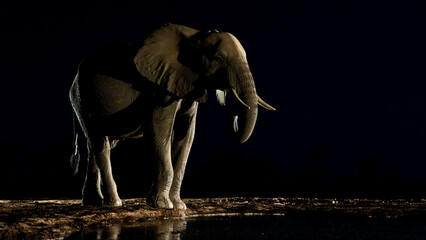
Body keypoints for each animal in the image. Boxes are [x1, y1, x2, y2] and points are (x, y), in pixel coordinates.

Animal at [69, 23, 276, 209]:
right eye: (218, 58)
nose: (234, 117)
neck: (194, 38)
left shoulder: (188, 85)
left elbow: (186, 134)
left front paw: (178, 206)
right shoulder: (159, 89)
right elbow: (160, 132)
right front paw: (163, 205)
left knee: (98, 146)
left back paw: (93, 203)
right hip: (82, 100)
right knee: (100, 144)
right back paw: (114, 203)